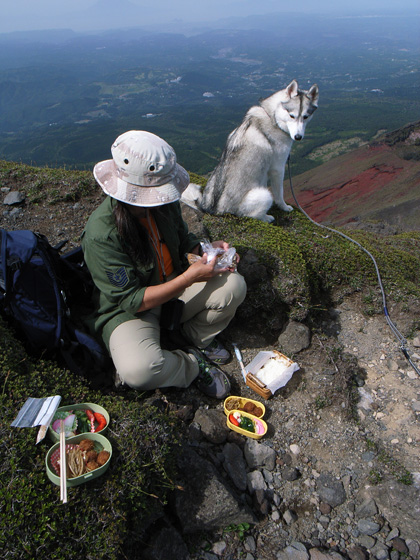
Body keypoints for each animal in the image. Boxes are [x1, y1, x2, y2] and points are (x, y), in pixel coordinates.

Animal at [183, 80, 318, 222]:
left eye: (305, 116)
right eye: (292, 116)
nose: (298, 137)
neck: (272, 117)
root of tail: (213, 210)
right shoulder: (278, 168)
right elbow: (279, 194)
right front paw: (284, 207)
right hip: (264, 195)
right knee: (251, 215)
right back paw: (267, 217)